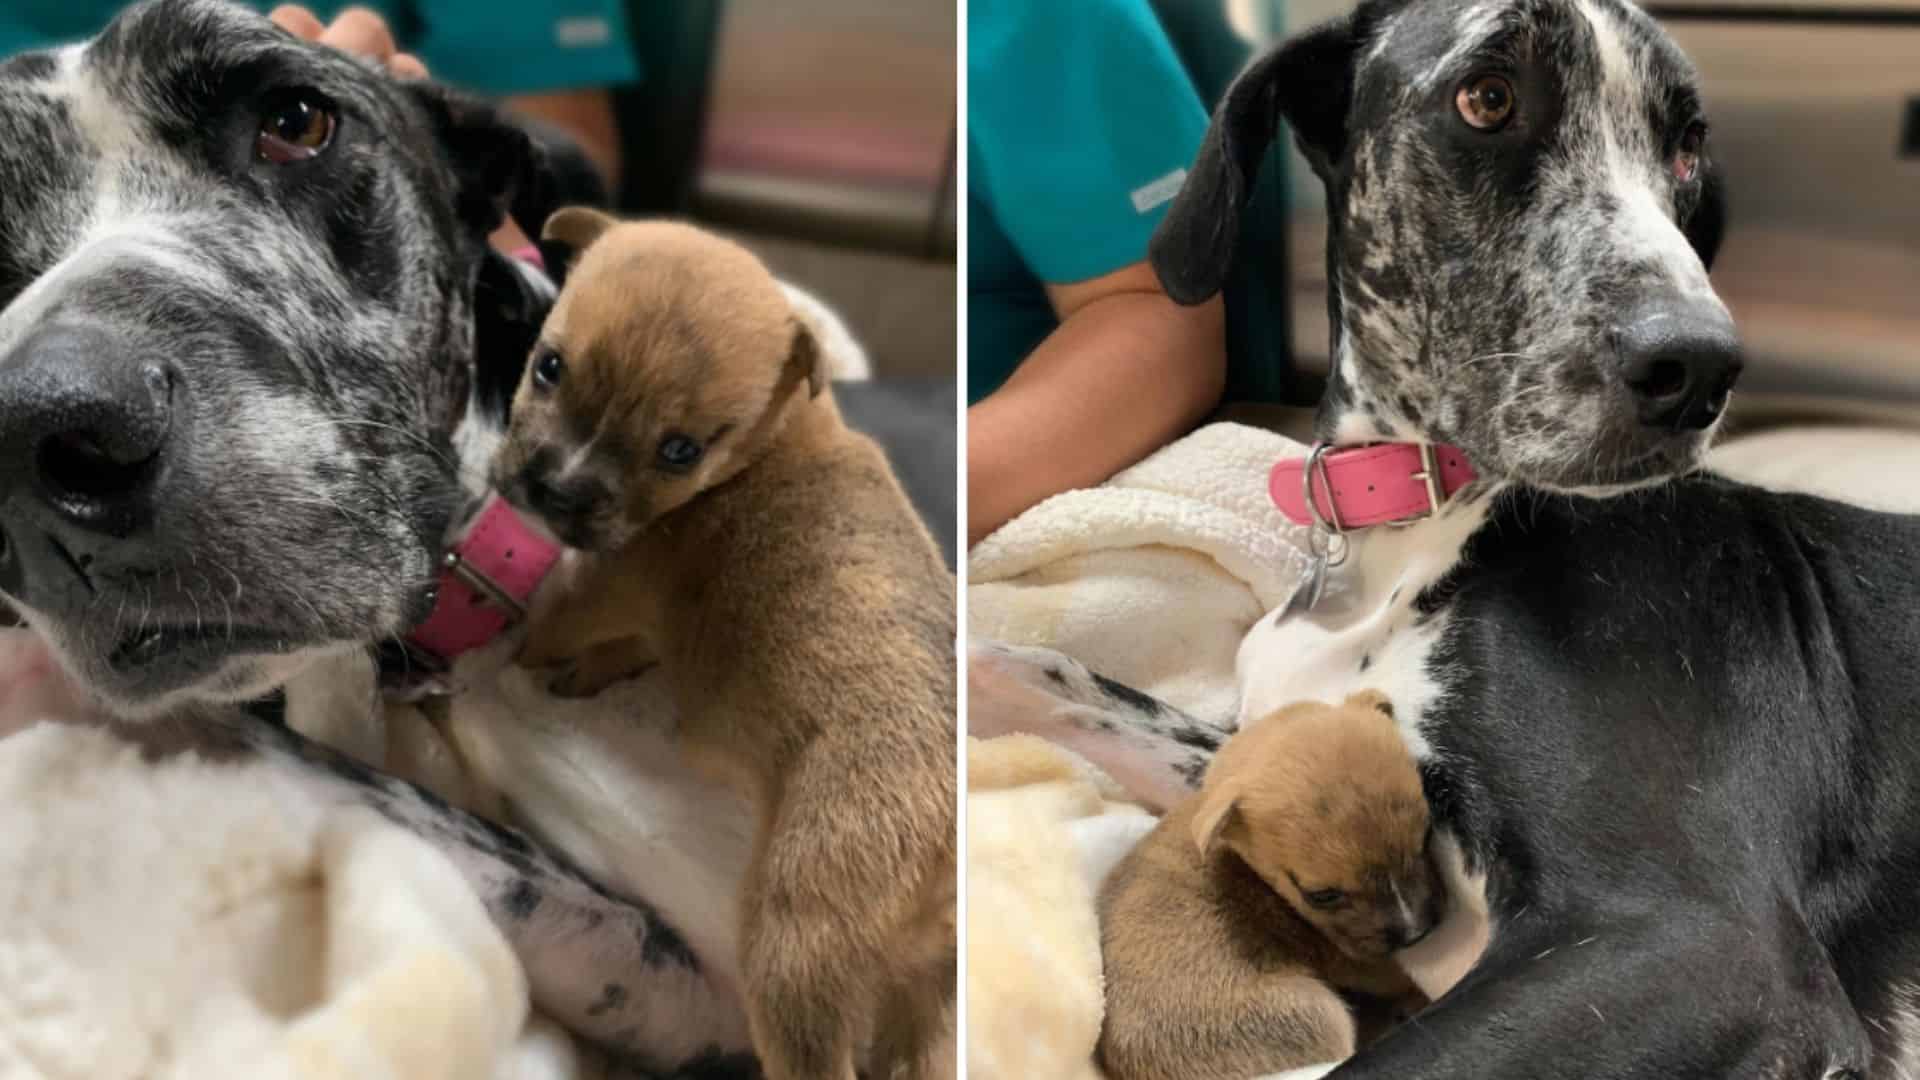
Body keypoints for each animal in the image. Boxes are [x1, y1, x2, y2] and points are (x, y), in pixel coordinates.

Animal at [487, 210, 952, 1076]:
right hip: (930, 988)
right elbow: (619, 654)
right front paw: (581, 681)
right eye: (548, 365)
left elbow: (545, 629)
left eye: (682, 450)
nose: (556, 492)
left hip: (796, 950)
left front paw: (519, 663)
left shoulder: (602, 584)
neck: (775, 439)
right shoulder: (648, 621)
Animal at [1098, 687, 1443, 1076]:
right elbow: (1388, 972)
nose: (1417, 934)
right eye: (1321, 896)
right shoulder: (1350, 958)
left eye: (1426, 836)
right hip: (1316, 1016)